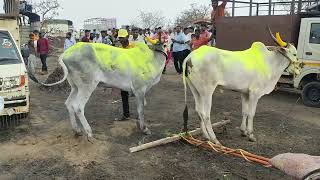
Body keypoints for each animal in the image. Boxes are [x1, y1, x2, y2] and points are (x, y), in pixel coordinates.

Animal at [28, 40, 166, 138]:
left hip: (75, 87)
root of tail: (65, 54)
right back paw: (88, 132)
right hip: (87, 85)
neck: (153, 58)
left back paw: (77, 130)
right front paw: (144, 129)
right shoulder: (140, 89)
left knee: (69, 104)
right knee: (78, 107)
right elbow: (141, 110)